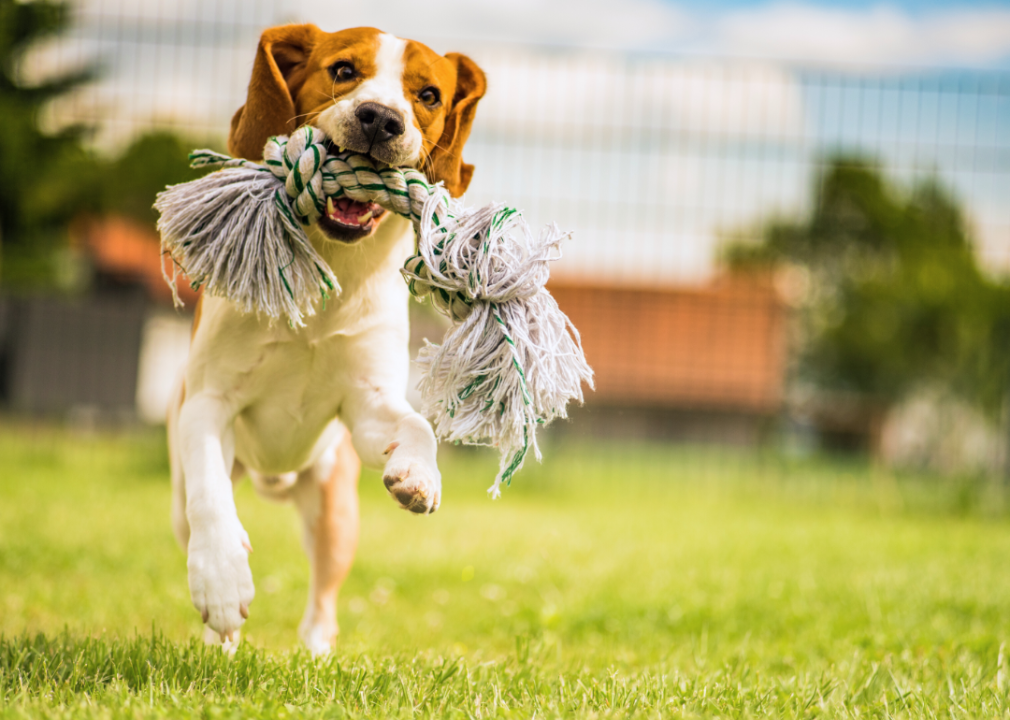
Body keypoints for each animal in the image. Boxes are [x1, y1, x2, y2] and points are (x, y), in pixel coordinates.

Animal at [166, 23, 488, 650]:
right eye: (343, 70)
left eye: (428, 95)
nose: (380, 118)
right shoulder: (208, 401)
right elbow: (212, 499)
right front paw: (222, 582)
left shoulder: (365, 405)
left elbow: (415, 425)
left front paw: (419, 474)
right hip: (183, 498)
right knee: (200, 511)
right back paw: (220, 644)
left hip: (335, 511)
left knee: (323, 601)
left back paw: (315, 654)